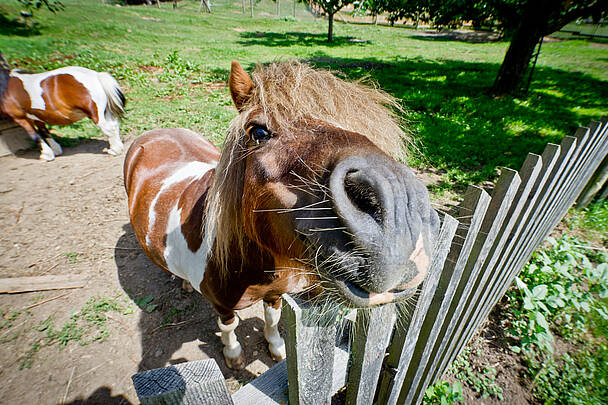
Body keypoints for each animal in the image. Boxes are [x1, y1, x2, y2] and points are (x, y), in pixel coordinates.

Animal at [123, 60, 440, 370]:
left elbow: (272, 319)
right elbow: (228, 327)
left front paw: (276, 348)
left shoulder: (275, 294)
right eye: (258, 132)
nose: (400, 211)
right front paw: (233, 354)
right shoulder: (223, 307)